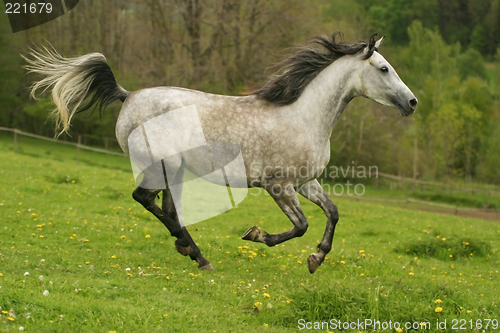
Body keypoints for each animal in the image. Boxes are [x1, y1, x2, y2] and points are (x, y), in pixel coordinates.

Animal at [24, 32, 414, 274]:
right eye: (384, 68)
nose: (412, 102)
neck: (303, 116)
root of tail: (128, 96)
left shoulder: (305, 183)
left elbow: (332, 213)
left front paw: (316, 258)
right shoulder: (278, 186)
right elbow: (300, 226)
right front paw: (256, 235)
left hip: (176, 172)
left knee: (166, 208)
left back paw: (189, 250)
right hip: (162, 166)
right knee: (146, 200)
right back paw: (194, 252)